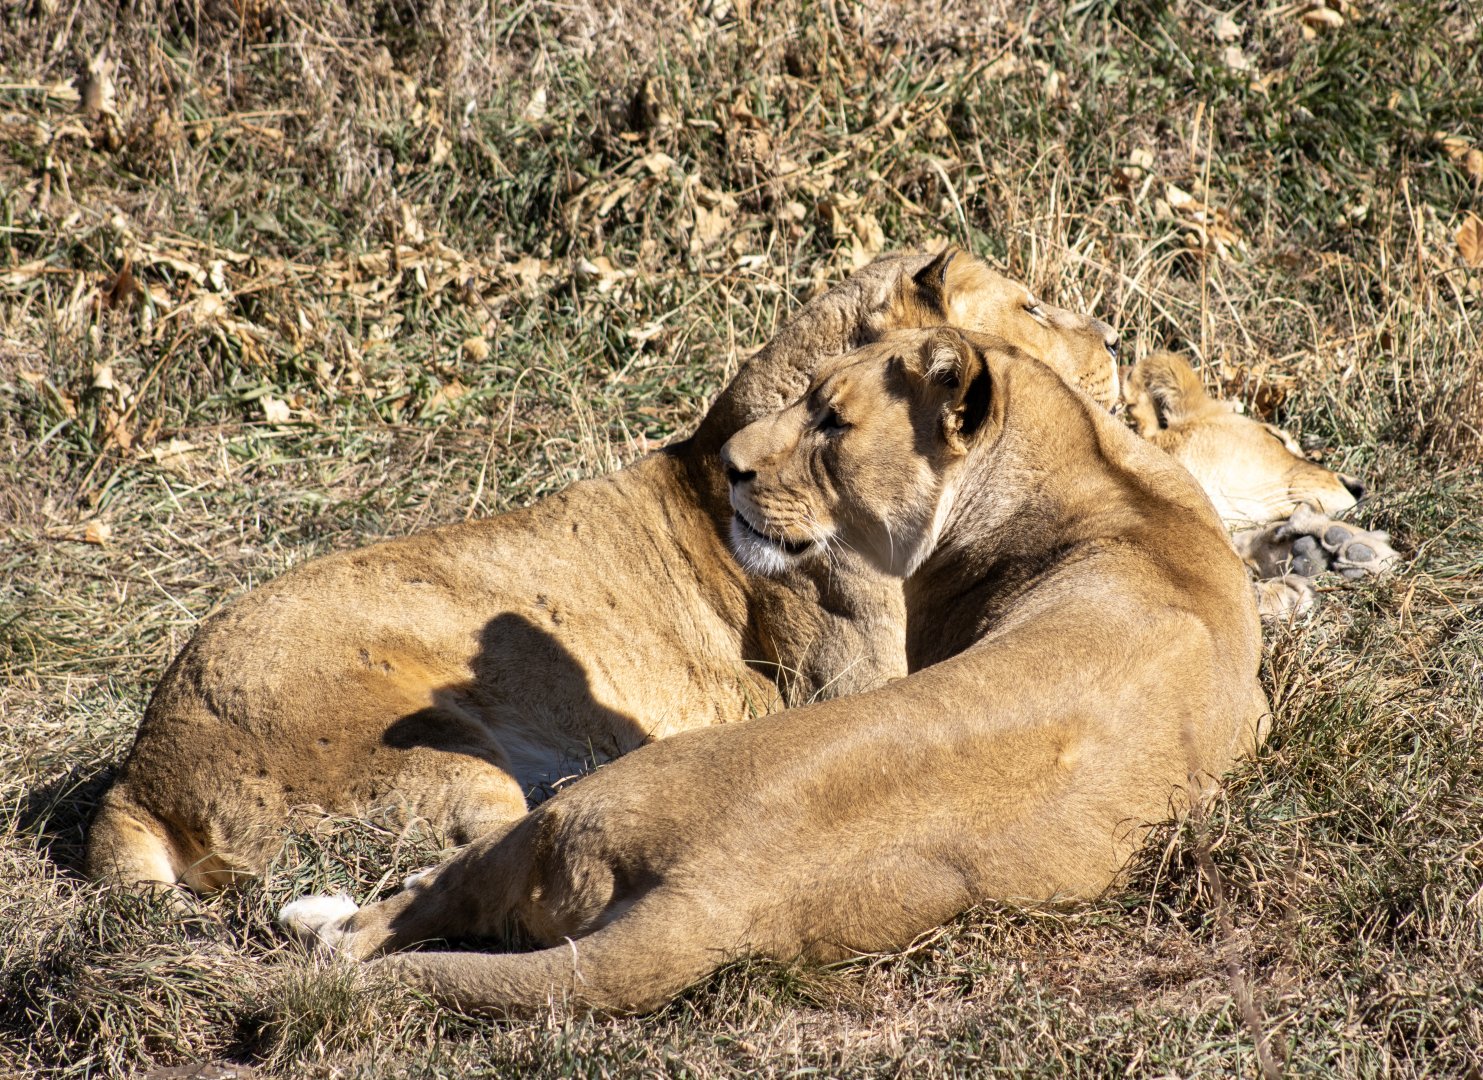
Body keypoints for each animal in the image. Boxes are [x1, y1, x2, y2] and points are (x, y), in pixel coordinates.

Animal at [279, 326, 1267, 1016]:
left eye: (831, 421)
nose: (728, 465)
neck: (1101, 479)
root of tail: (708, 897)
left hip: (570, 803)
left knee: (398, 915)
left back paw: (323, 920)